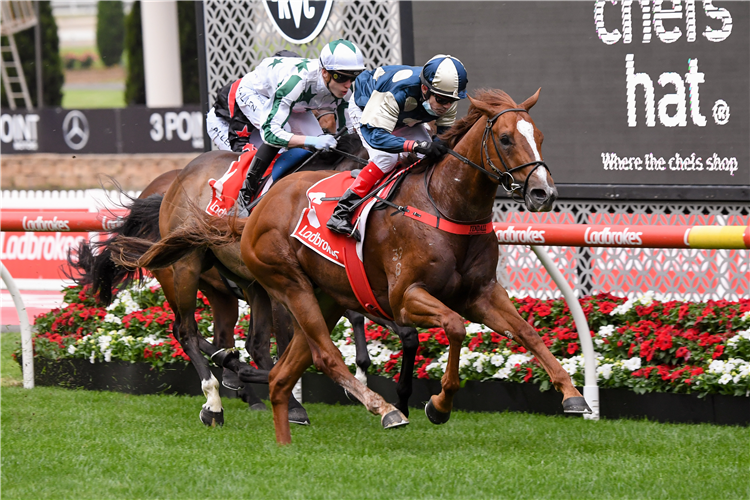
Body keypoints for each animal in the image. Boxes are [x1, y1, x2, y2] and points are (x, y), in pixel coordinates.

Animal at [111, 88, 592, 444]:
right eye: (506, 139)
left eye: (539, 136)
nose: (543, 193)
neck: (444, 205)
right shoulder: (404, 297)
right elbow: (452, 328)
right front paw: (436, 404)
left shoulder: (480, 293)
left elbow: (527, 331)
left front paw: (572, 395)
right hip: (223, 277)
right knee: (210, 335)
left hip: (295, 294)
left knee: (268, 345)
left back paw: (247, 381)